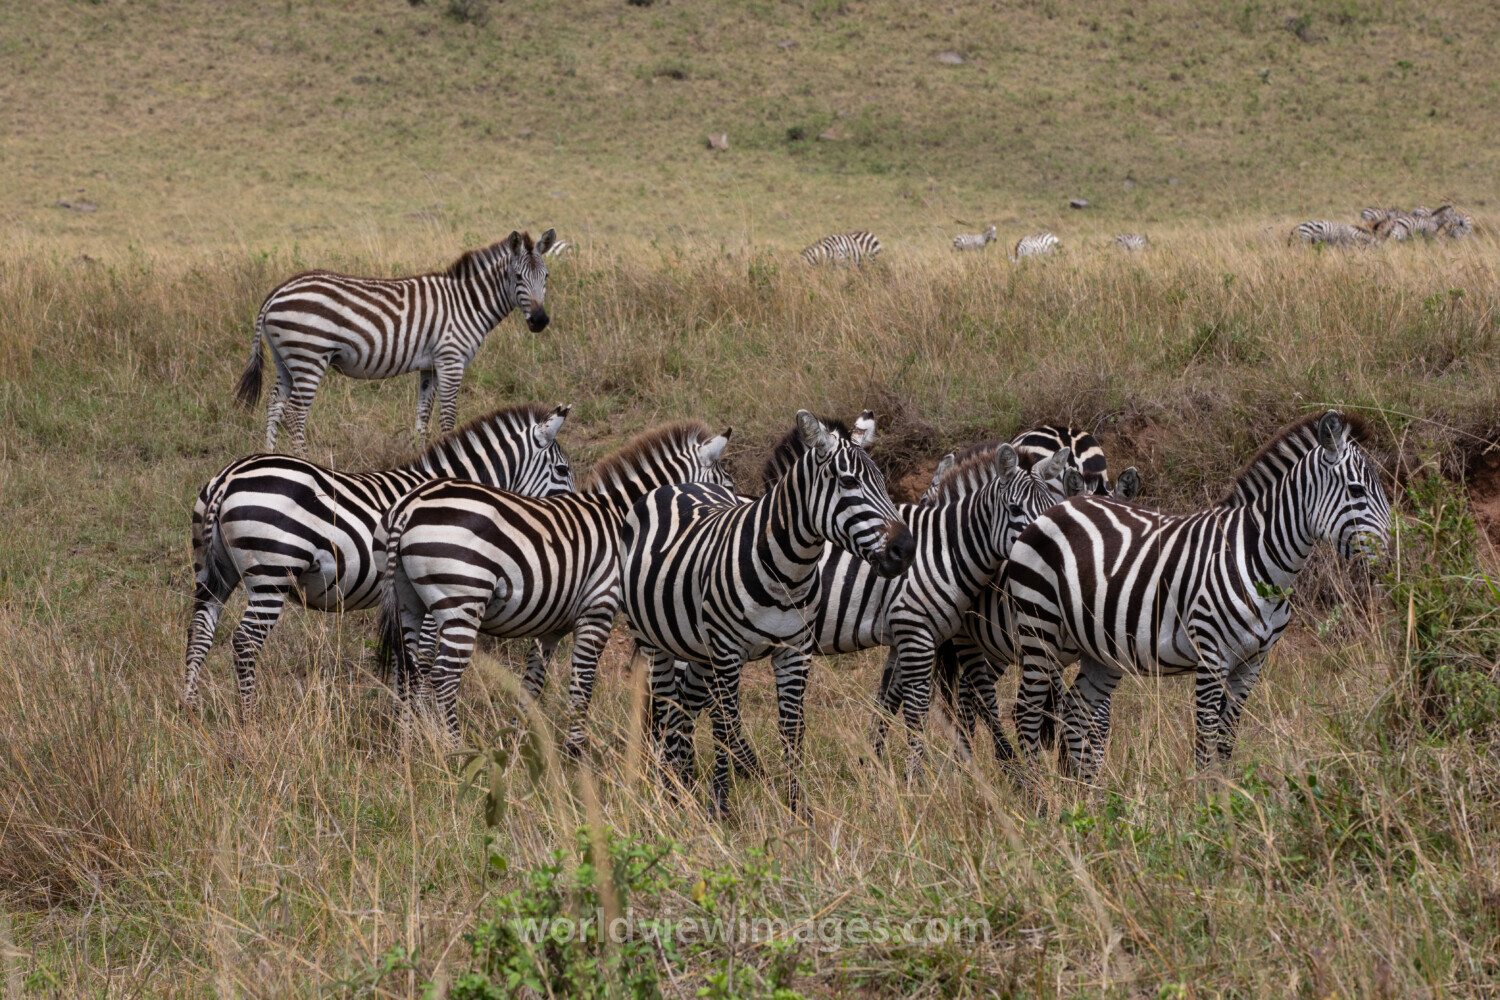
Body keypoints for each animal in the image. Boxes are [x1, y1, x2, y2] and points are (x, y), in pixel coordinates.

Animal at [183, 402, 574, 714]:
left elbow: (407, 660)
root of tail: (229, 476)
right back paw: (249, 716)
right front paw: (423, 721)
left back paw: (190, 707)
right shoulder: (431, 597)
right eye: (564, 471)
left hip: (214, 571)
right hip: (272, 574)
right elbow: (423, 661)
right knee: (244, 642)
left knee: (200, 629)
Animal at [235, 229, 558, 456]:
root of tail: (277, 291)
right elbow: (448, 417)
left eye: (546, 277)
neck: (466, 303)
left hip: (285, 360)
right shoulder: (451, 360)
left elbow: (423, 415)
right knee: (294, 413)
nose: (540, 321)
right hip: (309, 356)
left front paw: (423, 458)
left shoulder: (430, 366)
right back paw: (305, 461)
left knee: (274, 405)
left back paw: (270, 458)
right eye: (517, 276)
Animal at [377, 421, 734, 747]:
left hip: (409, 602)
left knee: (407, 670)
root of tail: (409, 507)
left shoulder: (551, 626)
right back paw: (453, 751)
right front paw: (575, 753)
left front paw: (517, 745)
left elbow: (532, 685)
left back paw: (408, 746)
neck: (626, 526)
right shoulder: (597, 610)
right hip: (461, 601)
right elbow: (582, 686)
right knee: (443, 679)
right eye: (726, 488)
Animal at [619, 410, 916, 816]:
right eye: (848, 482)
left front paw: (797, 810)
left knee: (685, 709)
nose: (906, 549)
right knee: (666, 709)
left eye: (884, 483)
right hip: (655, 641)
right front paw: (722, 806)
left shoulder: (795, 651)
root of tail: (676, 486)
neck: (787, 573)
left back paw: (682, 784)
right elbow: (726, 726)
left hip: (699, 650)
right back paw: (671, 793)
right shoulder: (728, 654)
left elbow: (792, 728)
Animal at [1007, 411, 1390, 779]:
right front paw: (1207, 797)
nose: (1391, 560)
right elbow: (1205, 741)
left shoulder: (1252, 663)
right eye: (1357, 490)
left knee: (1076, 712)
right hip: (1039, 630)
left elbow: (1226, 738)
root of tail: (1059, 507)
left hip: (1100, 650)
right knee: (1026, 713)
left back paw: (1086, 795)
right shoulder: (1211, 655)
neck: (1255, 559)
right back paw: (1036, 794)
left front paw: (1228, 793)